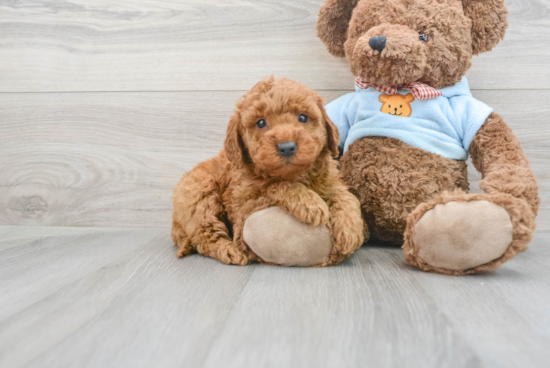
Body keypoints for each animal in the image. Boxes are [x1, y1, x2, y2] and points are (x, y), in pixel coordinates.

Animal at [170, 77, 364, 268]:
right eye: (261, 122)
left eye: (303, 117)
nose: (287, 147)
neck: (294, 174)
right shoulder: (238, 201)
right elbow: (275, 185)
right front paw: (311, 204)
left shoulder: (330, 182)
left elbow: (346, 196)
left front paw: (350, 232)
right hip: (200, 196)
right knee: (205, 235)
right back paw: (230, 251)